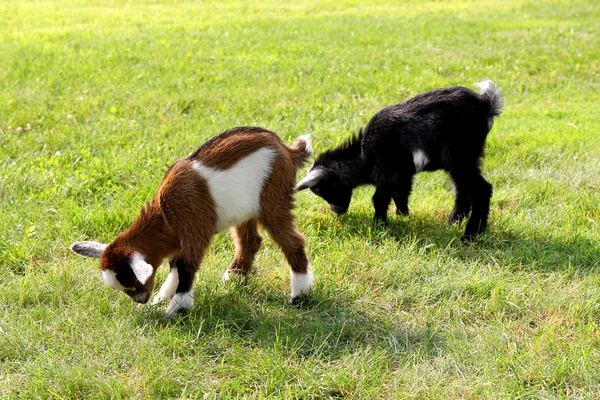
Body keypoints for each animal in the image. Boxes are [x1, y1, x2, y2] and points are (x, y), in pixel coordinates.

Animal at [71, 127, 314, 316]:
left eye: (133, 283)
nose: (140, 300)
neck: (166, 216)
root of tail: (287, 150)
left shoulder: (194, 230)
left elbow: (186, 267)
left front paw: (176, 308)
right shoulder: (180, 237)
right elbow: (175, 265)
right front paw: (162, 298)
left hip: (273, 198)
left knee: (292, 242)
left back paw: (300, 295)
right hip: (245, 209)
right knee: (250, 241)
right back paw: (233, 276)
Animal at [298, 79, 502, 239]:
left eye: (320, 188)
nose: (336, 211)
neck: (363, 154)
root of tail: (485, 104)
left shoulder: (386, 172)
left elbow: (378, 199)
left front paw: (379, 224)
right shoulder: (403, 174)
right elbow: (401, 192)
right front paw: (403, 215)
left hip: (461, 156)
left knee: (481, 189)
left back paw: (471, 235)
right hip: (462, 161)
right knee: (461, 188)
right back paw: (453, 221)